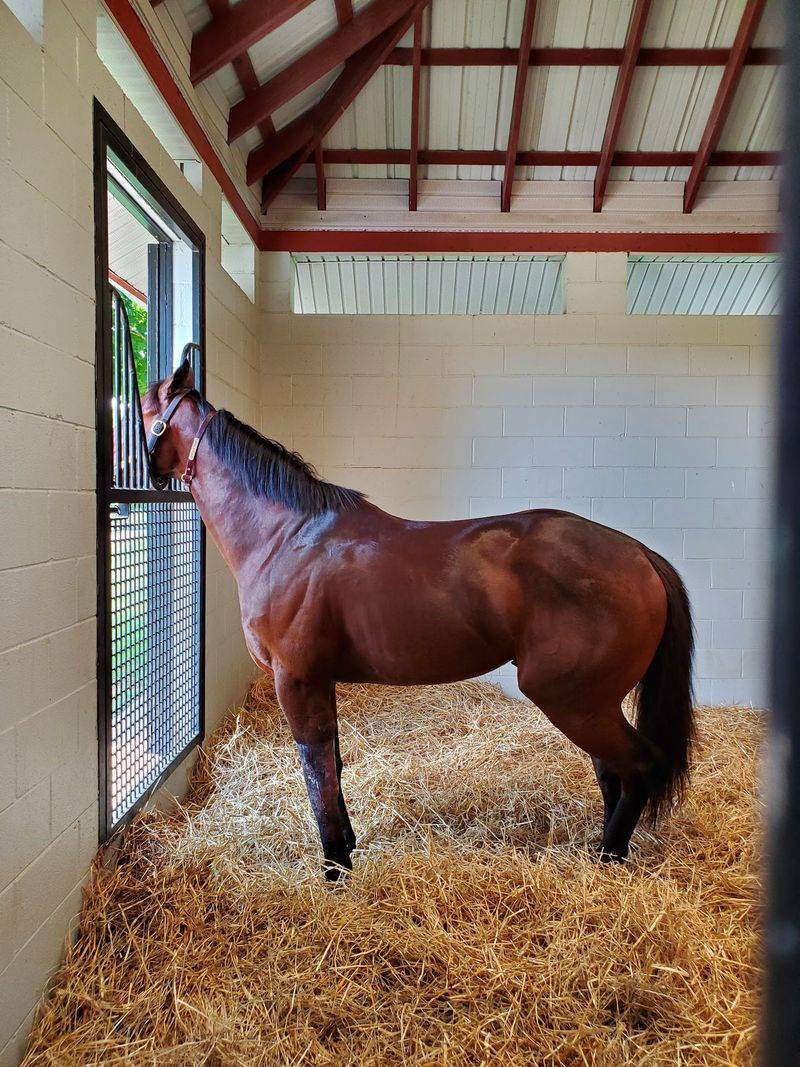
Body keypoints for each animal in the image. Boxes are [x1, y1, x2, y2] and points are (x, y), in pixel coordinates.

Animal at [142, 359, 695, 878]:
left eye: (138, 412)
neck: (287, 536)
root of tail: (639, 555)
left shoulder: (295, 679)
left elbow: (316, 769)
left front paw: (335, 868)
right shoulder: (320, 679)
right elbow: (333, 764)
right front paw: (347, 850)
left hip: (573, 700)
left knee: (637, 767)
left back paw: (608, 857)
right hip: (592, 702)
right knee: (612, 772)